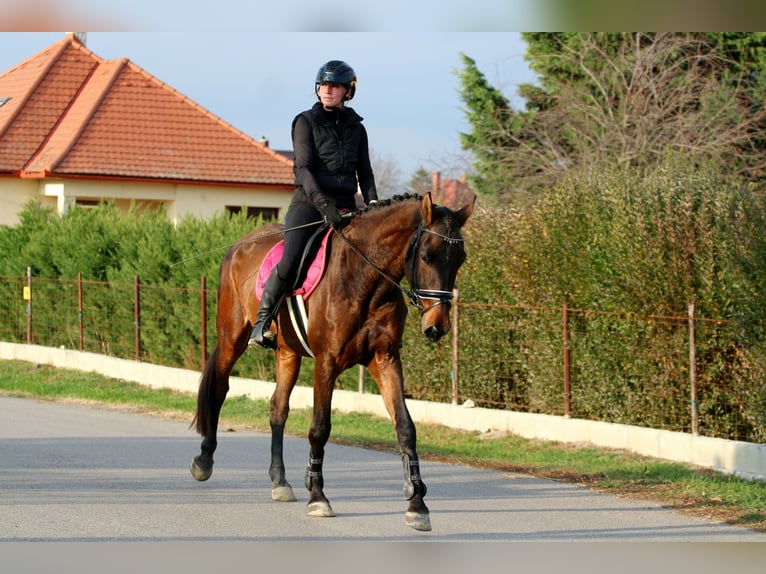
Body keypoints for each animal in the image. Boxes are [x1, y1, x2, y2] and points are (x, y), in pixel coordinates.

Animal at [190, 192, 474, 531]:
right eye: (428, 256)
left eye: (460, 259)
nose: (437, 326)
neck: (366, 279)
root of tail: (239, 245)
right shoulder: (327, 362)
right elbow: (320, 428)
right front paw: (317, 497)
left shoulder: (385, 360)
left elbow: (405, 427)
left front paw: (417, 504)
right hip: (232, 338)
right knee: (219, 389)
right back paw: (203, 462)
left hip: (288, 353)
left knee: (277, 408)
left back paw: (279, 481)